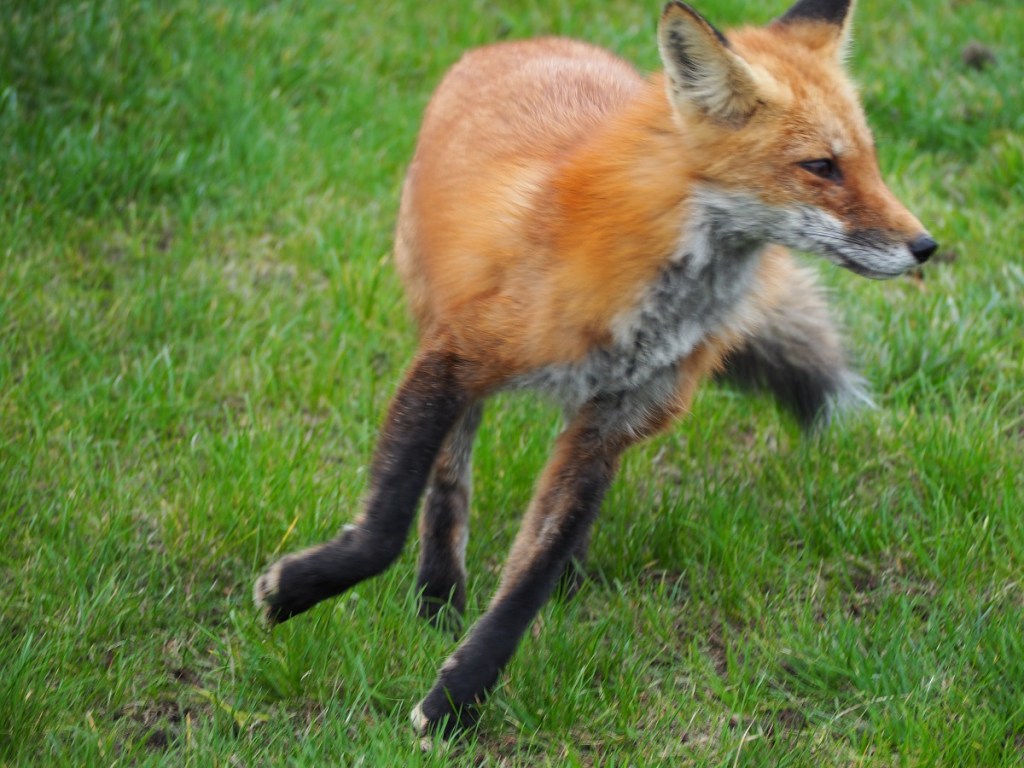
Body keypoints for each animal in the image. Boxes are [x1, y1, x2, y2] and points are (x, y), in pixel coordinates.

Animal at [254, 0, 936, 739]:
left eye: (869, 161)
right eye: (821, 167)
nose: (925, 246)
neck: (657, 301)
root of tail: (519, 43)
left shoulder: (615, 421)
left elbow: (527, 582)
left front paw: (458, 699)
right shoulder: (454, 355)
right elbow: (384, 524)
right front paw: (295, 591)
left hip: (584, 422)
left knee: (559, 517)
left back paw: (561, 583)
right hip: (442, 338)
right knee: (447, 482)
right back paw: (438, 598)